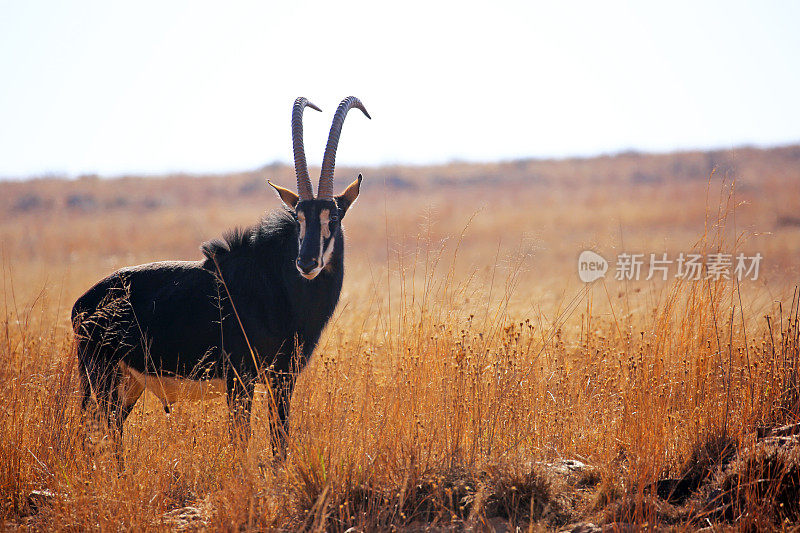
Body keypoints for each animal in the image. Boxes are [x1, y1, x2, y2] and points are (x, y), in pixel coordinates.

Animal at [72, 95, 372, 454]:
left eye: (334, 219)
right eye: (298, 217)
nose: (307, 262)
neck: (277, 286)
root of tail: (82, 304)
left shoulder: (283, 379)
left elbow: (280, 444)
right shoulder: (240, 378)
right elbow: (240, 441)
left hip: (128, 383)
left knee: (113, 431)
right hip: (103, 379)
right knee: (103, 433)